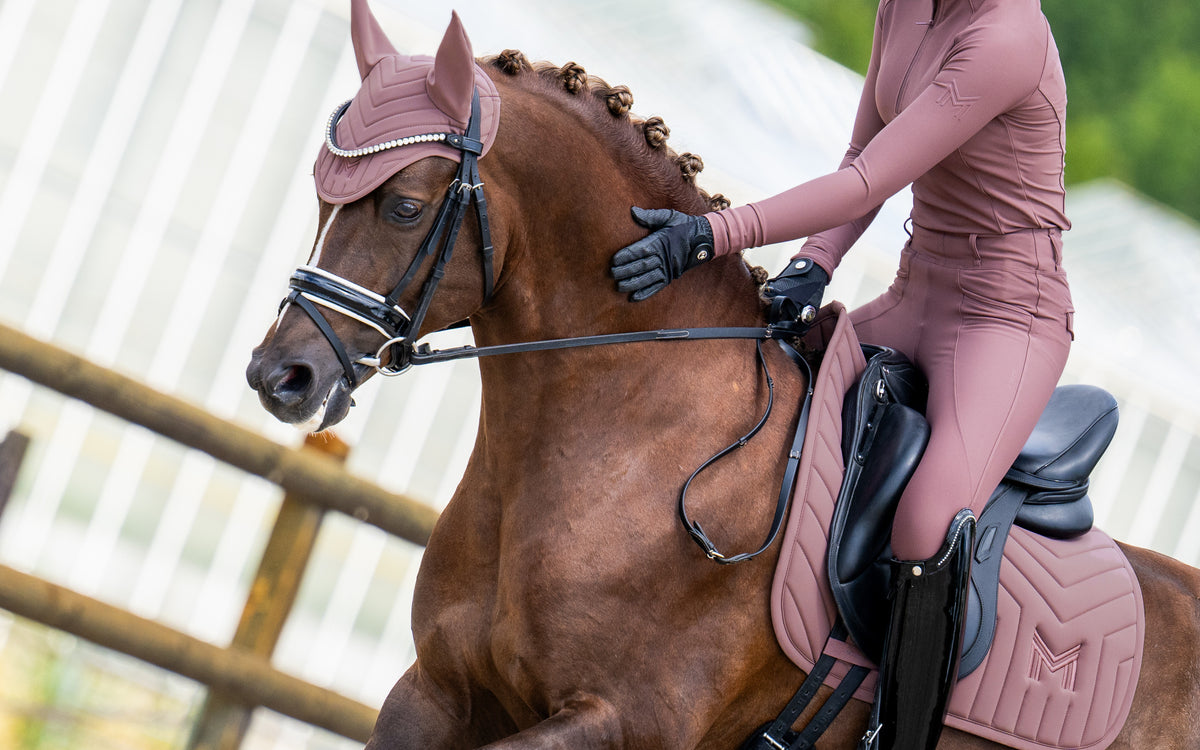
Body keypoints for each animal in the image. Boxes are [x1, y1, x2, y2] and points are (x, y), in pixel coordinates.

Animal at [245, 16, 1200, 750]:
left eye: (404, 205)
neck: (634, 437)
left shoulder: (622, 723)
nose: (279, 375)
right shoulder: (437, 691)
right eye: (325, 197)